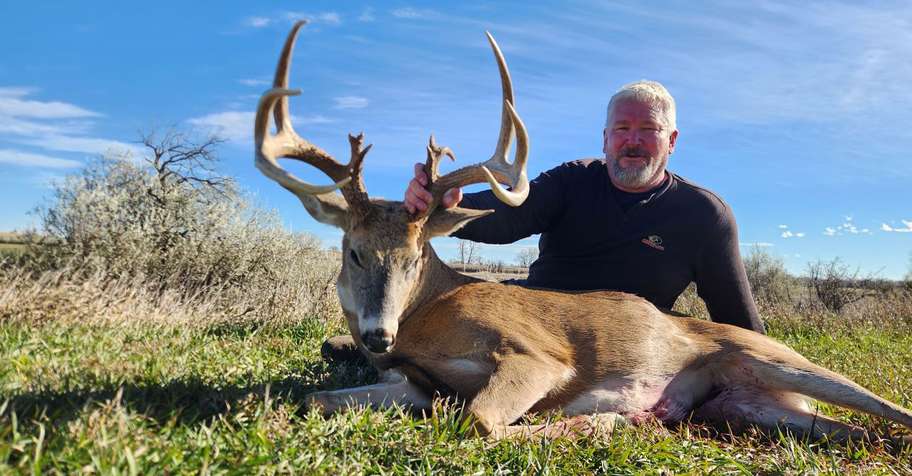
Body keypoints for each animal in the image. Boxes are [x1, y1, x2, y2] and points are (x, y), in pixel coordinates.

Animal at [255, 21, 912, 442]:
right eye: (354, 252)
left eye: (417, 256)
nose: (377, 335)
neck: (427, 316)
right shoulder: (413, 385)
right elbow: (316, 398)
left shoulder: (537, 357)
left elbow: (480, 420)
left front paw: (606, 417)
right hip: (751, 407)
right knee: (848, 429)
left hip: (777, 358)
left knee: (888, 409)